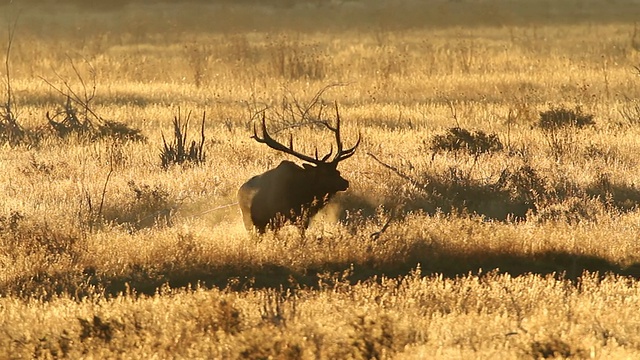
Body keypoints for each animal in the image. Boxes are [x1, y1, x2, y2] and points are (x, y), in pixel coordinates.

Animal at [239, 104, 360, 233]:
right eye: (325, 172)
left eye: (337, 171)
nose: (345, 182)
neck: (304, 193)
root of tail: (239, 193)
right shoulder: (279, 217)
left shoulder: (303, 218)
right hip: (251, 222)